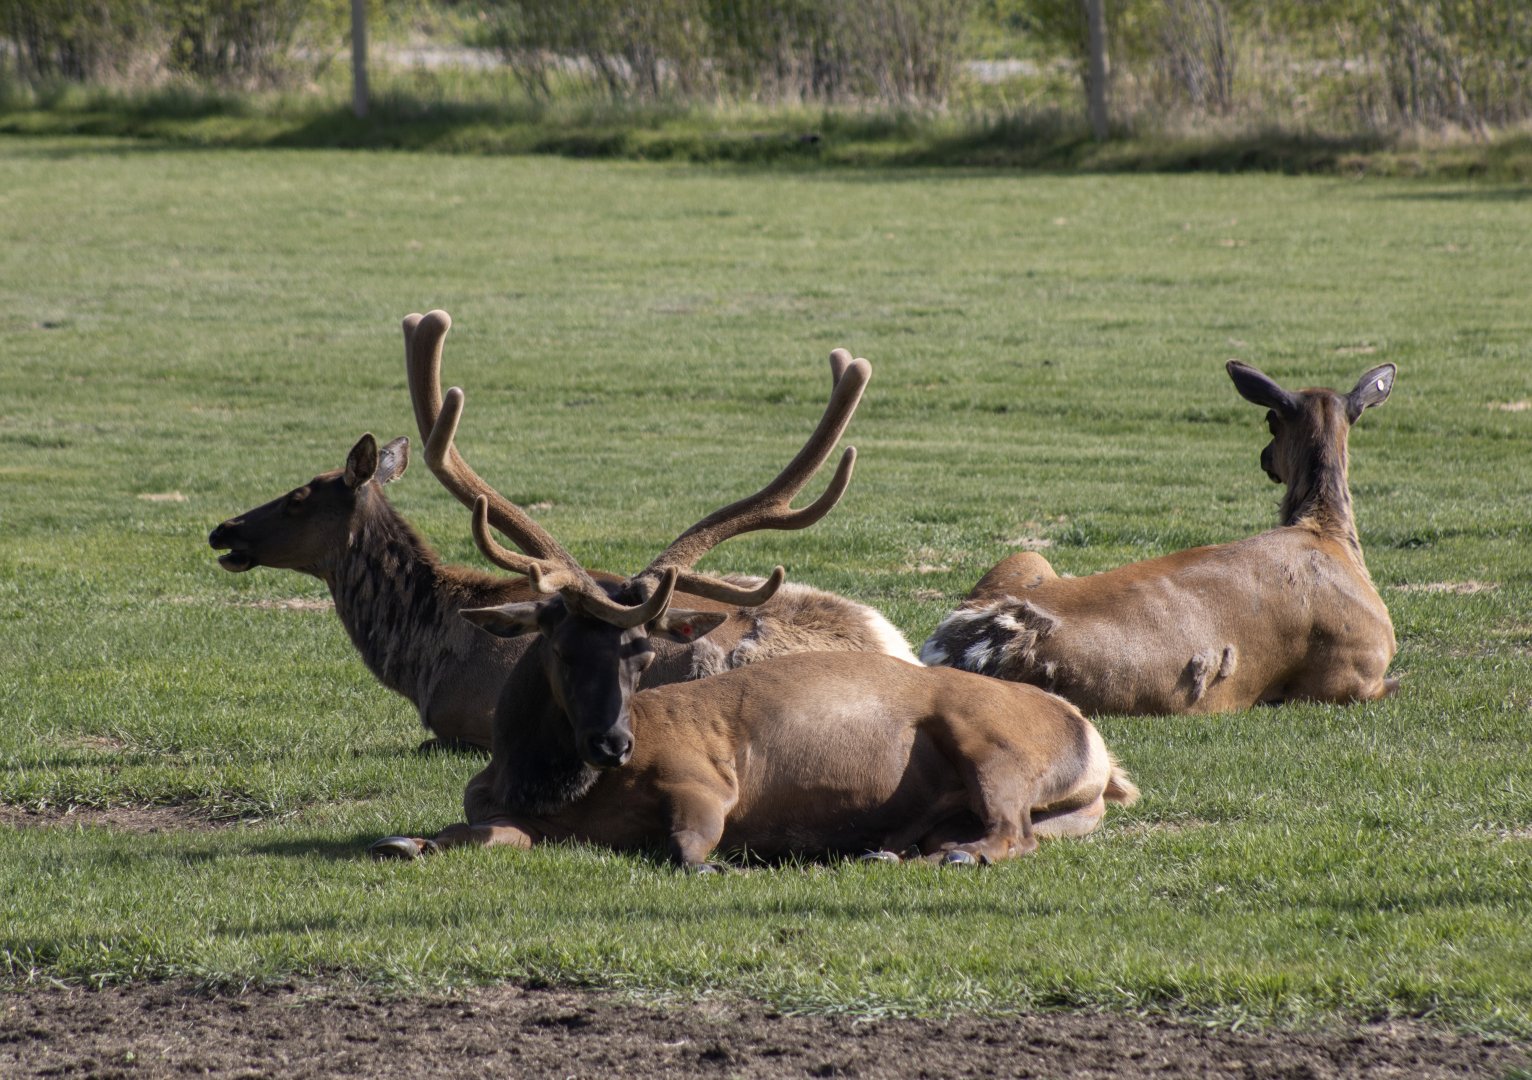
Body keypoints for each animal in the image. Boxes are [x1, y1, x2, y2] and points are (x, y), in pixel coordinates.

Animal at [369, 348, 1138, 870]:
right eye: (559, 645)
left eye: (642, 653)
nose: (614, 743)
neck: (547, 791)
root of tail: (1098, 751)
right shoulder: (493, 809)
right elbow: (452, 834)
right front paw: (405, 840)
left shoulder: (703, 777)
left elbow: (689, 846)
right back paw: (889, 850)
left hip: (994, 744)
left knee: (1011, 832)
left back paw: (933, 854)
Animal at [919, 360, 1399, 716]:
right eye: (1270, 419)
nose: (1265, 458)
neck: (1330, 536)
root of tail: (957, 652)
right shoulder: (1351, 673)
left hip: (1024, 559)